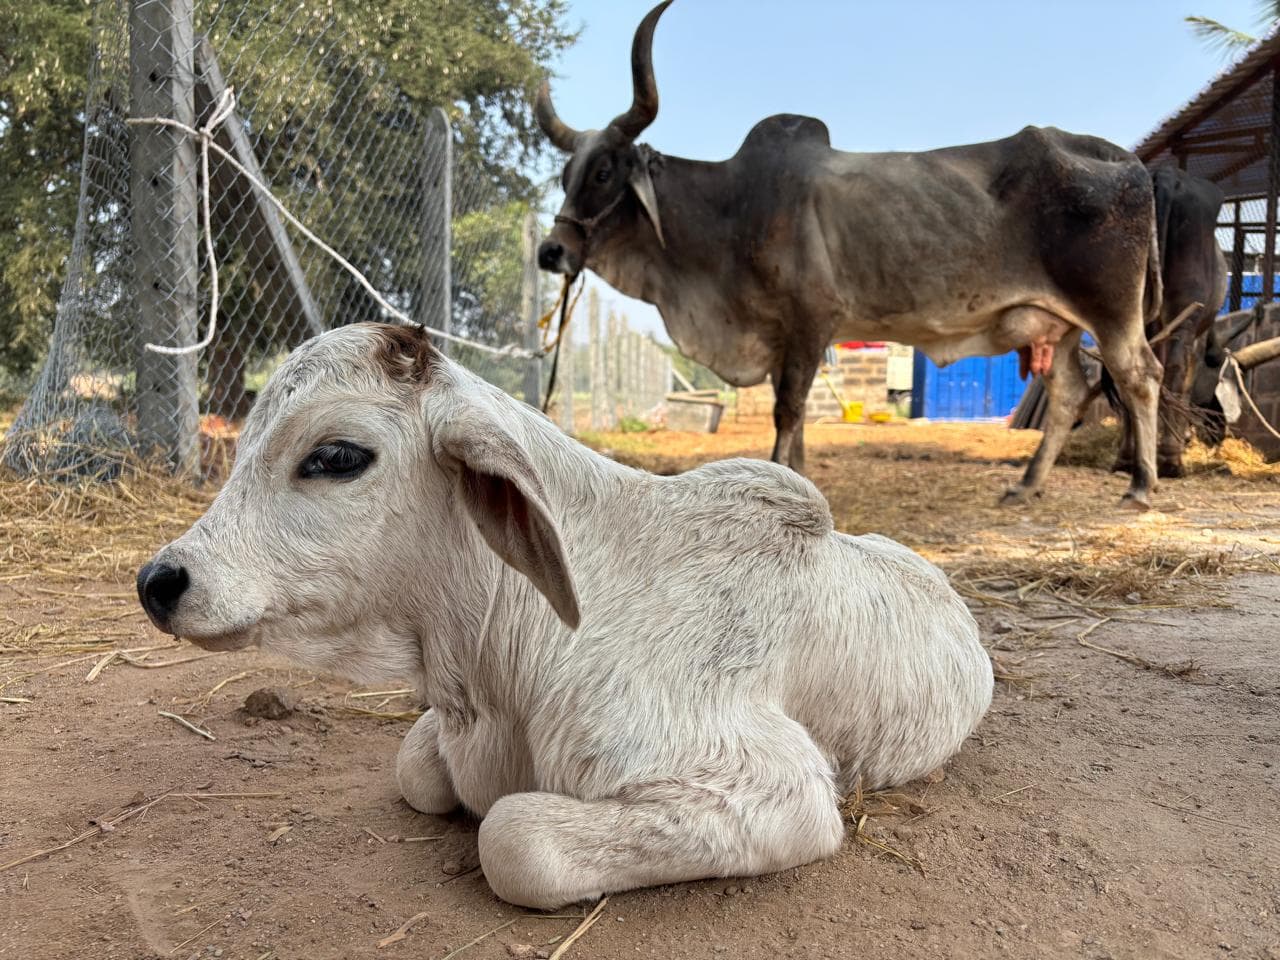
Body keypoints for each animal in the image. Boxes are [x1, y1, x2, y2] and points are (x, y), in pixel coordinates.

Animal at [534, 1, 1166, 509]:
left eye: (604, 171)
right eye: (565, 174)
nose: (551, 251)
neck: (733, 208)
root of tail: (1123, 158)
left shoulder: (811, 320)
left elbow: (788, 411)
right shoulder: (785, 335)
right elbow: (794, 416)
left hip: (1111, 311)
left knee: (1140, 374)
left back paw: (1141, 486)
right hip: (1055, 325)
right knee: (1067, 394)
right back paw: (1027, 485)